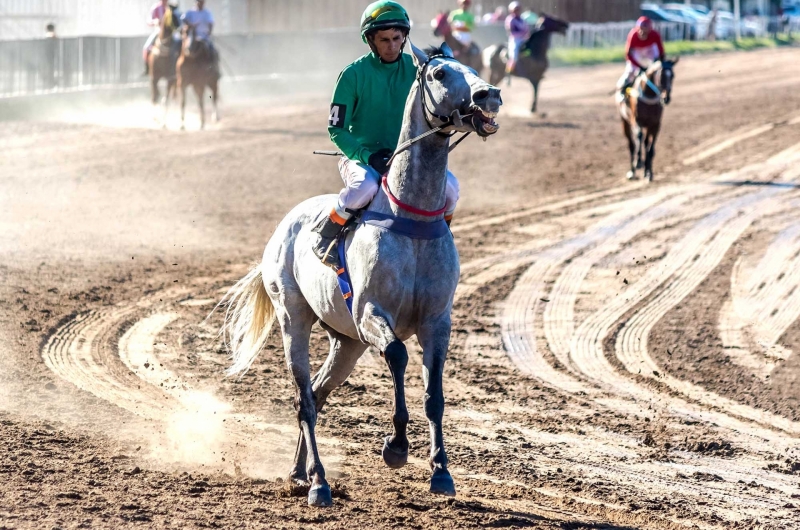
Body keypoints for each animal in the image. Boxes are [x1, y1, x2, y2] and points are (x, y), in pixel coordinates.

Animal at [219, 43, 500, 506]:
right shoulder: (371, 313)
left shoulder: (437, 322)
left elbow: (435, 396)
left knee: (317, 393)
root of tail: (285, 225)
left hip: (346, 343)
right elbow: (398, 355)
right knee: (304, 398)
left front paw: (441, 472)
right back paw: (318, 482)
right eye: (439, 73)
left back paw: (298, 472)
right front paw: (396, 447)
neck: (411, 217)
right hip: (294, 319)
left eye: (473, 67)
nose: (488, 95)